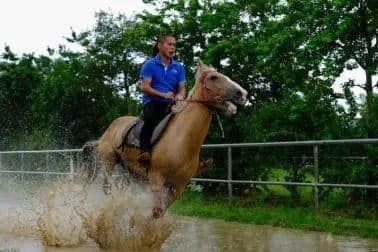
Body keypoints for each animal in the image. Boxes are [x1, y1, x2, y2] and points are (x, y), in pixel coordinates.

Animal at [82, 60, 248, 218]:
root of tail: (108, 131)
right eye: (214, 77)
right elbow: (156, 211)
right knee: (106, 187)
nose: (242, 93)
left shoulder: (178, 187)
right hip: (109, 161)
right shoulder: (156, 178)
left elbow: (160, 213)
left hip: (130, 170)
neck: (180, 142)